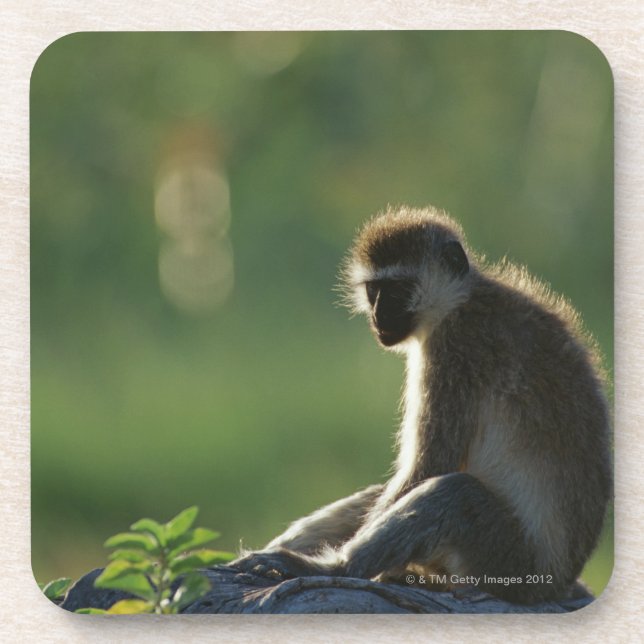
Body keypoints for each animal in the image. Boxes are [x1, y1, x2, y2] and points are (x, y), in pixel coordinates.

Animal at [232, 205, 612, 604]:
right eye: (374, 290)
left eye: (398, 290)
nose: (378, 316)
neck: (460, 301)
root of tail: (558, 581)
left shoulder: (456, 350)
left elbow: (430, 464)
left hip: (510, 562)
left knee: (452, 494)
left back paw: (334, 568)